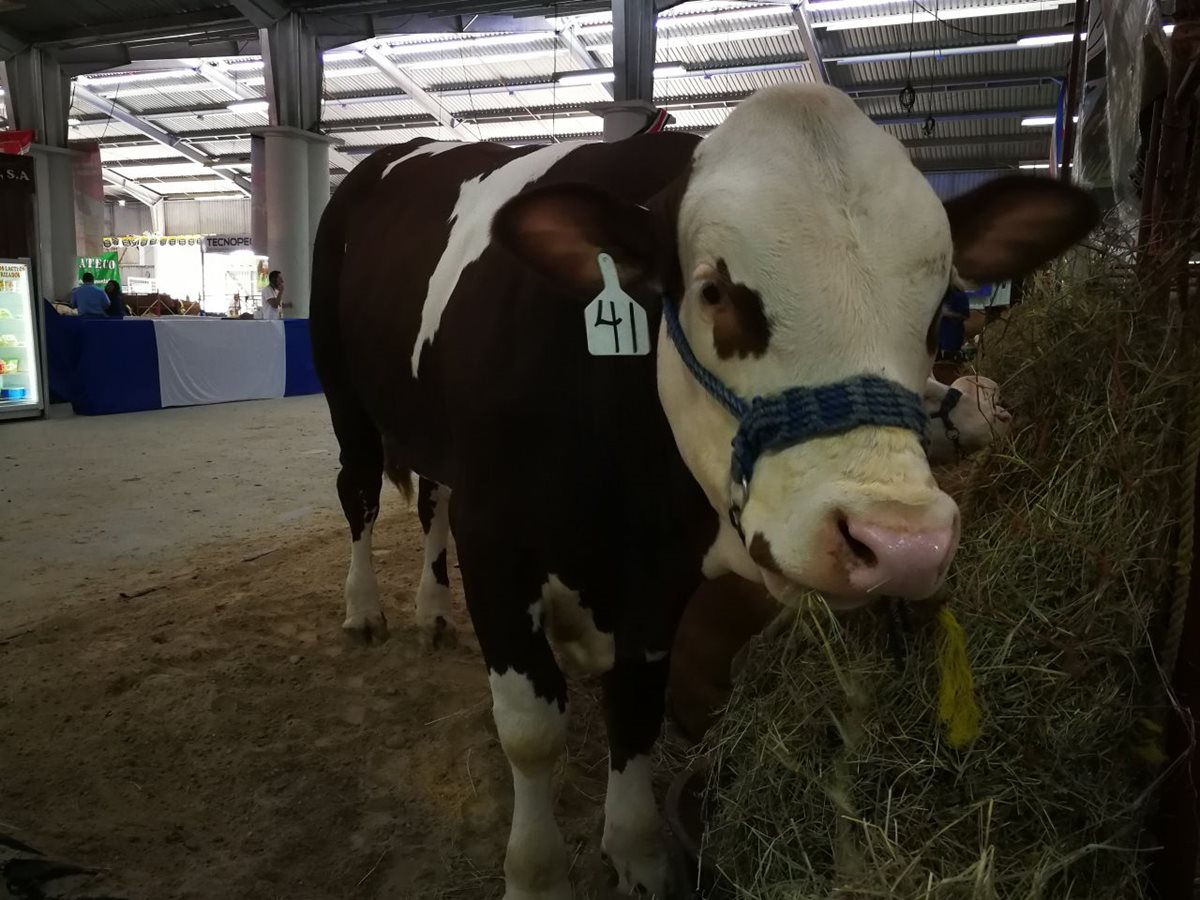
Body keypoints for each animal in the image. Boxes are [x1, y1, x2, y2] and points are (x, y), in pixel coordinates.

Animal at [312, 86, 1099, 900]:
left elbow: (635, 708)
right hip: (346, 394)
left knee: (427, 498)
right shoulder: (498, 539)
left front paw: (638, 852)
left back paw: (432, 611)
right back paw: (366, 608)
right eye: (714, 290)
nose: (901, 541)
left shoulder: (659, 580)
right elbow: (531, 733)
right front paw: (535, 875)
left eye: (943, 304)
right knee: (360, 492)